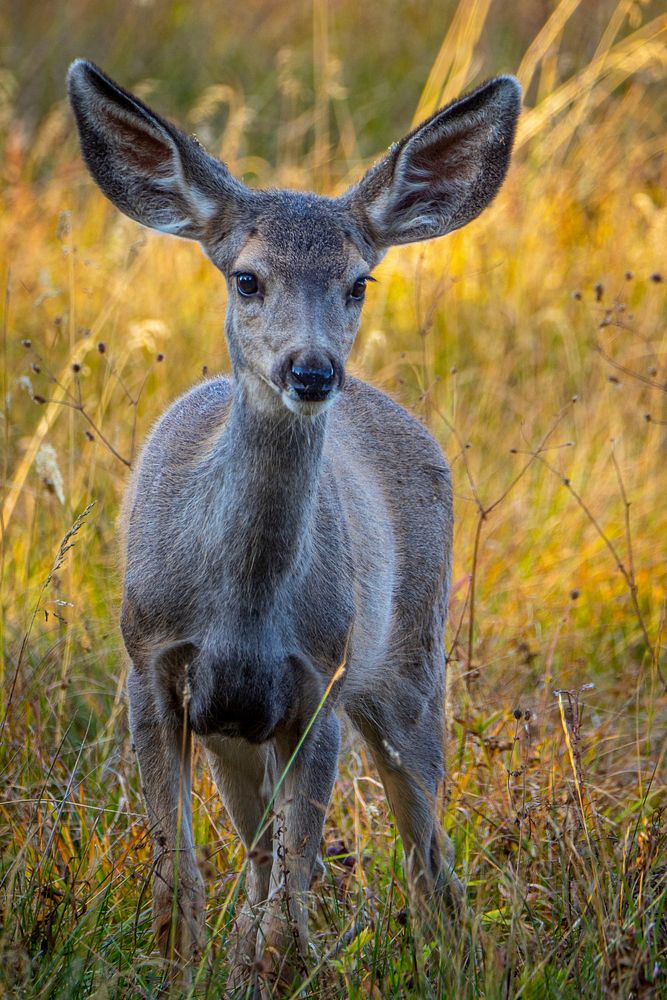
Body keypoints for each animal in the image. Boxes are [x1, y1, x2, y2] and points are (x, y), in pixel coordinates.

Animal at [68, 60, 520, 992]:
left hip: (411, 665)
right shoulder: (148, 662)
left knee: (427, 860)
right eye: (246, 278)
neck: (240, 607)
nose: (310, 370)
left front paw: (266, 968)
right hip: (243, 732)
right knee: (264, 859)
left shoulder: (321, 681)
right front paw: (180, 971)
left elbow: (289, 896)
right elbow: (179, 879)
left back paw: (452, 959)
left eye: (358, 282)